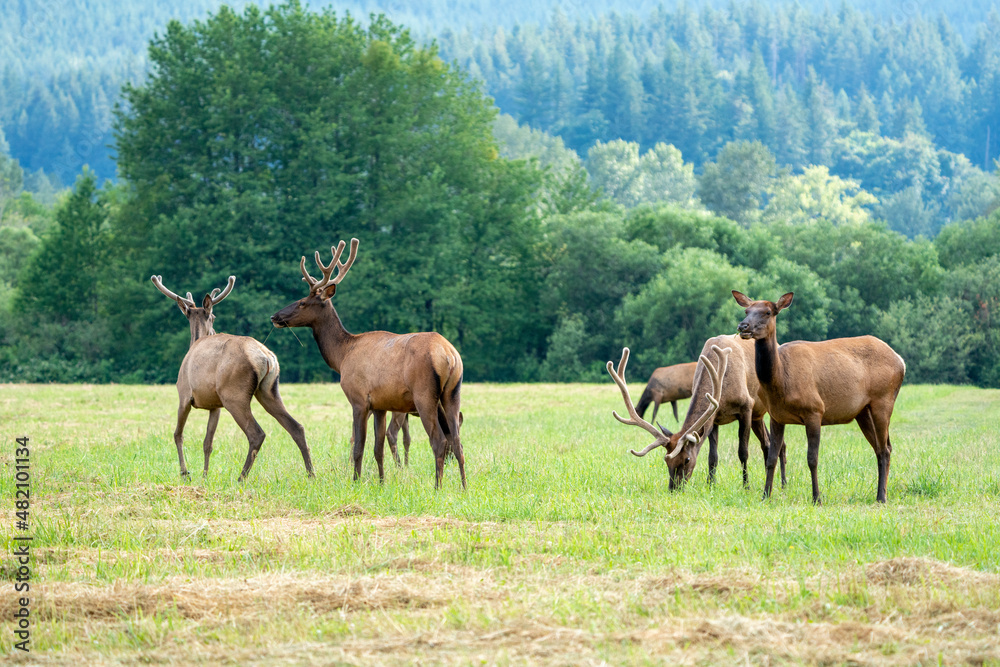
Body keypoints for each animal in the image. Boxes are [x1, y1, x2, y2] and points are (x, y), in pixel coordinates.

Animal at [152, 275, 314, 481]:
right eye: (213, 317)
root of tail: (265, 357)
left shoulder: (184, 395)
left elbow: (178, 434)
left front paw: (185, 473)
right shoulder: (214, 405)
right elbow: (208, 442)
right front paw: (204, 476)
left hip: (234, 394)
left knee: (257, 433)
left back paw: (241, 477)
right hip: (269, 390)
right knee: (297, 427)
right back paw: (311, 474)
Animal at [270, 238, 466, 488]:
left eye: (303, 302)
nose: (275, 317)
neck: (342, 355)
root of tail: (449, 355)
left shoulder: (359, 399)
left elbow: (359, 447)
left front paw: (355, 481)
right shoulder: (380, 404)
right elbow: (377, 448)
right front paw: (382, 483)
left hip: (424, 394)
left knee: (439, 440)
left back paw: (437, 487)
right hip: (452, 392)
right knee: (458, 441)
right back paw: (464, 487)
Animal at [608, 334, 782, 490]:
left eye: (686, 459)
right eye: (666, 462)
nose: (673, 488)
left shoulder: (746, 407)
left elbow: (743, 452)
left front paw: (746, 486)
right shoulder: (714, 417)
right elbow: (712, 456)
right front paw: (710, 485)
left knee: (774, 444)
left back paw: (783, 483)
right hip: (757, 416)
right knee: (768, 443)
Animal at [732, 291, 906, 504]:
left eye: (767, 312)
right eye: (746, 311)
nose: (743, 326)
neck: (780, 381)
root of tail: (901, 361)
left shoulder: (814, 409)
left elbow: (812, 458)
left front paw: (817, 498)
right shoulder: (776, 416)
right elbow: (771, 458)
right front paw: (765, 495)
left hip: (883, 399)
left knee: (885, 448)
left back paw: (881, 497)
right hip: (862, 411)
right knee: (882, 448)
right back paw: (880, 494)